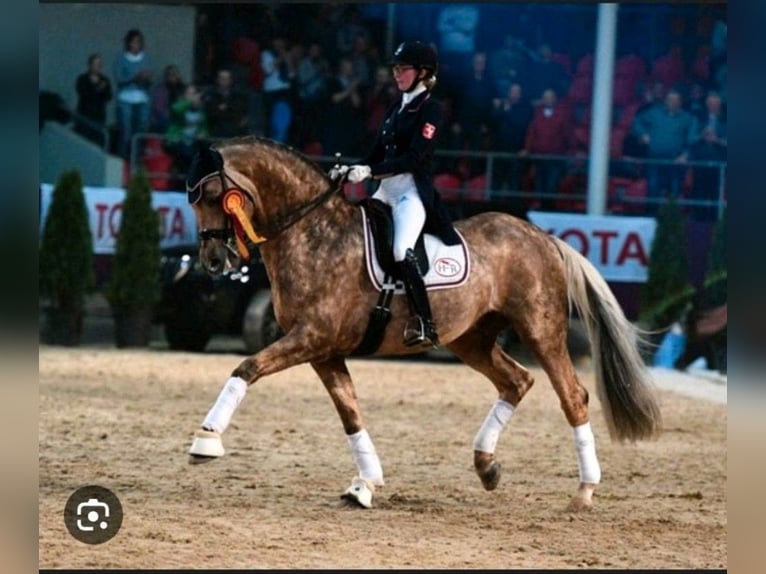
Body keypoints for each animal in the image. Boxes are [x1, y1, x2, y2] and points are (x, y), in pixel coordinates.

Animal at [183, 136, 664, 512]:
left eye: (212, 196)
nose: (213, 261)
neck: (314, 233)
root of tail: (543, 237)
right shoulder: (324, 350)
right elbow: (350, 413)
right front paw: (365, 484)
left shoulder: (310, 338)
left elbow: (246, 368)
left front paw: (206, 440)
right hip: (471, 338)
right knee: (516, 381)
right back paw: (487, 466)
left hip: (540, 330)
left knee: (572, 396)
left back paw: (584, 491)